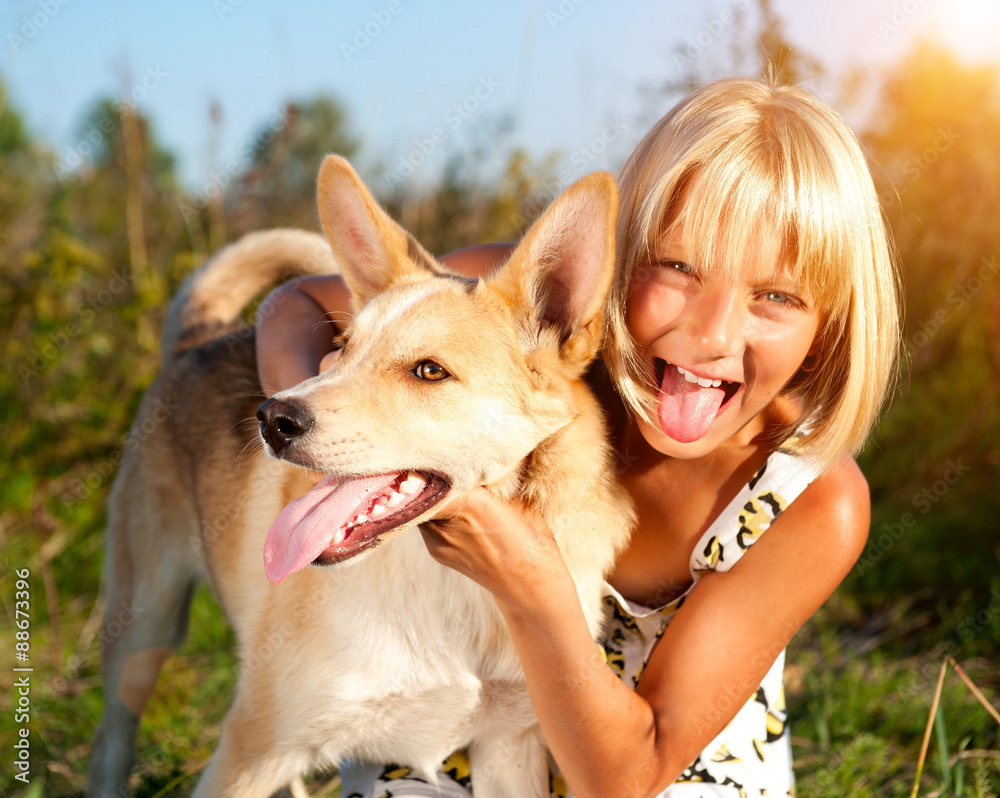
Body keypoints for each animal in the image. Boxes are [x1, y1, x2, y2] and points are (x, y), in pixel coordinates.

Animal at [88, 156, 632, 798]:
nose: (271, 419)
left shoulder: (510, 747)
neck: (455, 589)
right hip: (142, 631)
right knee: (110, 742)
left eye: (429, 371)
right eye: (342, 349)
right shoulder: (250, 751)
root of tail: (203, 337)